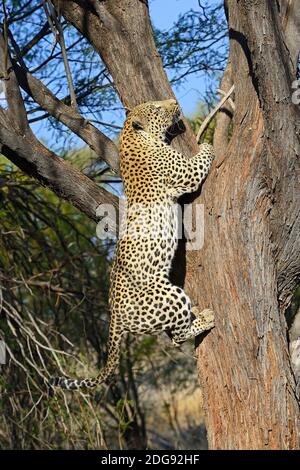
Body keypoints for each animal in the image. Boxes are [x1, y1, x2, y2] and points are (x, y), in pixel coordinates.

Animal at [51, 98, 216, 390]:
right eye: (158, 108)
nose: (174, 102)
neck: (132, 137)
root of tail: (114, 317)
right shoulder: (184, 174)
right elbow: (199, 162)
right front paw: (207, 143)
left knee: (173, 335)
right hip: (169, 296)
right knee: (177, 338)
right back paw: (205, 319)